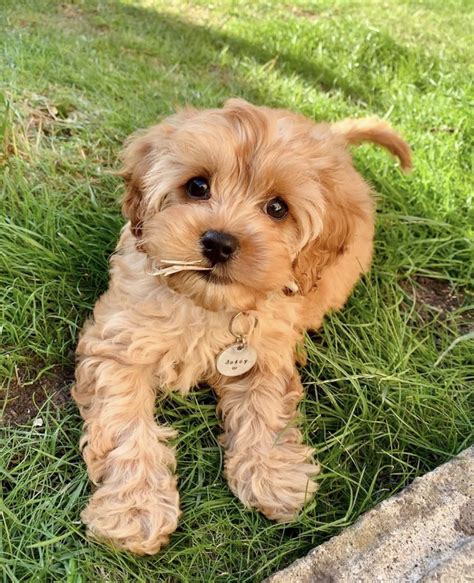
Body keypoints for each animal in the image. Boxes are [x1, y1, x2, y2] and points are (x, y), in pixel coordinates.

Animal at [72, 98, 410, 556]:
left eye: (277, 208)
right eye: (197, 186)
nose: (218, 242)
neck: (210, 305)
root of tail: (330, 137)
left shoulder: (266, 352)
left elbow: (265, 410)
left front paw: (274, 476)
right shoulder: (118, 342)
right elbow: (124, 423)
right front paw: (135, 509)